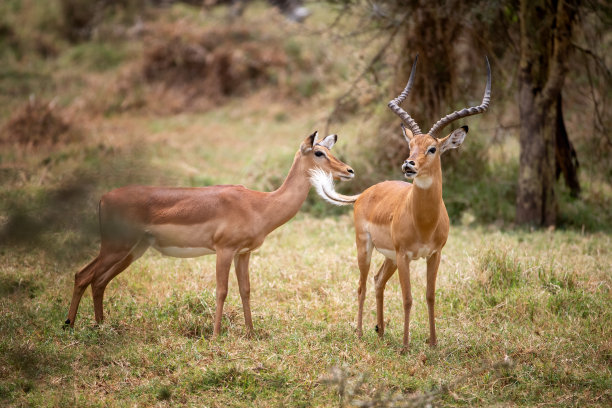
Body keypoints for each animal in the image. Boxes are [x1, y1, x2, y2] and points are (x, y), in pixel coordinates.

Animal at [65, 132, 354, 336]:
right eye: (319, 152)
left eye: (330, 150)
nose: (349, 170)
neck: (260, 204)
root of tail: (104, 197)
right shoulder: (223, 250)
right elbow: (221, 290)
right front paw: (215, 335)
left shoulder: (243, 254)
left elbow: (246, 290)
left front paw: (251, 334)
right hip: (116, 247)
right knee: (83, 275)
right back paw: (69, 325)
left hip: (132, 251)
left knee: (99, 281)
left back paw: (101, 326)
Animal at [314, 55, 490, 350]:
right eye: (411, 145)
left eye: (432, 148)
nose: (409, 165)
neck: (425, 222)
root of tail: (366, 192)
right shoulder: (406, 255)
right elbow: (408, 298)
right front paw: (407, 346)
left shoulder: (434, 255)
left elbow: (430, 296)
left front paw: (433, 342)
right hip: (367, 248)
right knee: (362, 285)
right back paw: (360, 333)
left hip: (391, 257)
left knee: (377, 281)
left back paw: (381, 331)